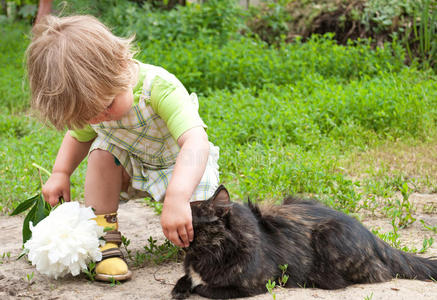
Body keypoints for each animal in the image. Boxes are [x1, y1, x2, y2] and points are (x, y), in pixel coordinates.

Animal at [170, 185, 436, 298]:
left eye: (189, 217)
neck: (207, 252)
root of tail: (373, 236)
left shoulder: (253, 286)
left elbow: (204, 288)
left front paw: (191, 288)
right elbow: (185, 279)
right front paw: (180, 287)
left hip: (330, 234)